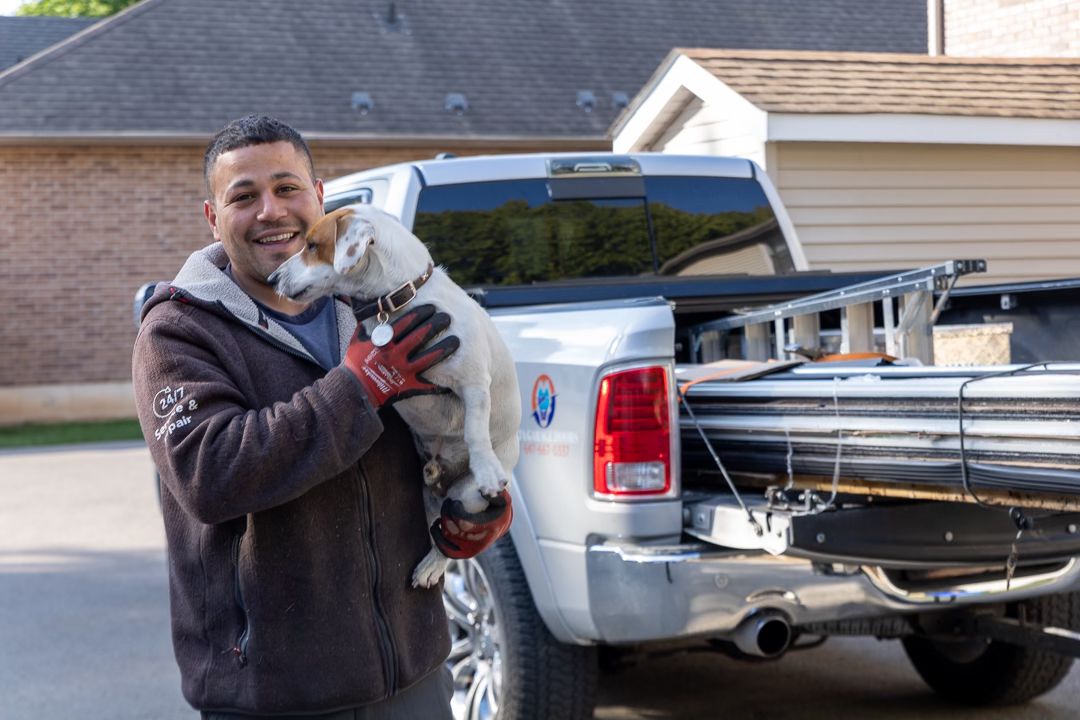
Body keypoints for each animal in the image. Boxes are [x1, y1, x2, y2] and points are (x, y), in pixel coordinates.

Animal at [270, 205, 522, 587]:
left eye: (312, 245)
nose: (272, 278)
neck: (400, 301)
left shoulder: (474, 382)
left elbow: (475, 429)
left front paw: (486, 467)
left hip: (466, 497)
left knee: (448, 534)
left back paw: (434, 563)